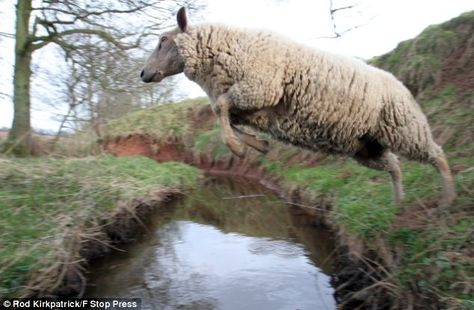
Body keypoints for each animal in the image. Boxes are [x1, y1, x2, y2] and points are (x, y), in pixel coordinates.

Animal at [141, 7, 456, 206]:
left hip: (404, 128)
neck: (223, 51)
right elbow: (223, 115)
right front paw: (257, 146)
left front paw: (239, 149)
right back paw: (398, 203)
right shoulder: (251, 105)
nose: (143, 74)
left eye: (163, 40)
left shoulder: (260, 89)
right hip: (367, 146)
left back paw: (448, 197)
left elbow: (220, 109)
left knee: (436, 155)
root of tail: (401, 85)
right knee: (395, 167)